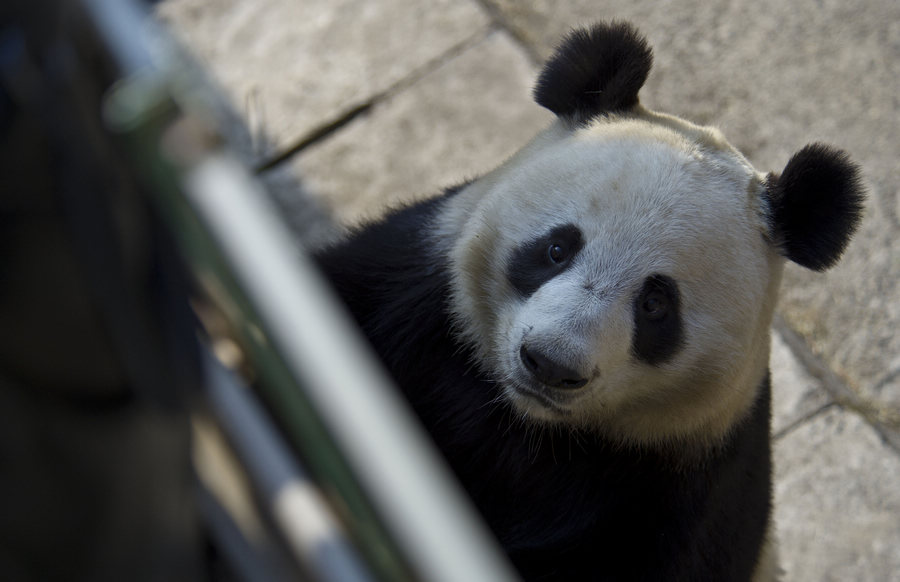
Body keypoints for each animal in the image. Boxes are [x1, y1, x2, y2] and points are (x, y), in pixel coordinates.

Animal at [314, 20, 864, 580]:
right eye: (557, 249)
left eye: (655, 305)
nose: (550, 364)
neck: (522, 424)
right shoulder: (412, 291)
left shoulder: (687, 489)